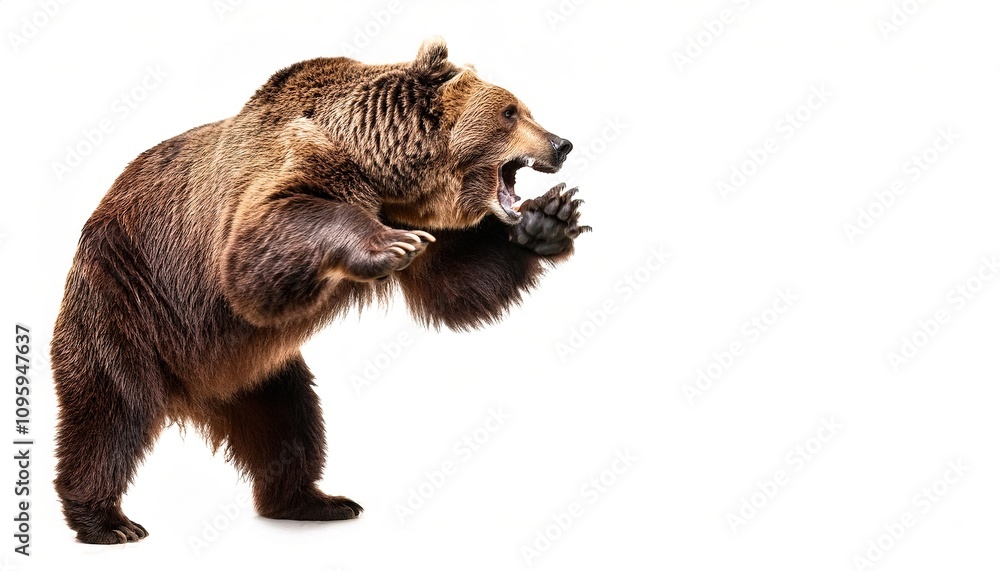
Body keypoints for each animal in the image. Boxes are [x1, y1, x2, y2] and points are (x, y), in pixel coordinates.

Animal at [51, 37, 589, 544]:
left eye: (524, 108)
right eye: (511, 111)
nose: (562, 143)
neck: (381, 167)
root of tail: (199, 390)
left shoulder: (416, 217)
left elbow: (456, 284)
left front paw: (550, 219)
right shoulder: (287, 172)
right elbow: (255, 252)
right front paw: (388, 245)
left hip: (258, 368)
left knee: (290, 422)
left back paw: (316, 501)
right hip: (128, 302)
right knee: (110, 412)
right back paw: (107, 521)